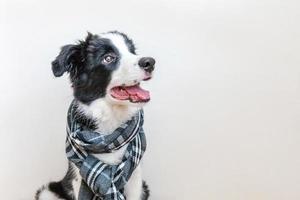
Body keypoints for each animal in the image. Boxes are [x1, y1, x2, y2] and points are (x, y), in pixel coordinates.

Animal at [35, 31, 155, 200]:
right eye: (108, 58)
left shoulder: (135, 179)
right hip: (47, 192)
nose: (150, 62)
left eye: (132, 51)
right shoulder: (79, 177)